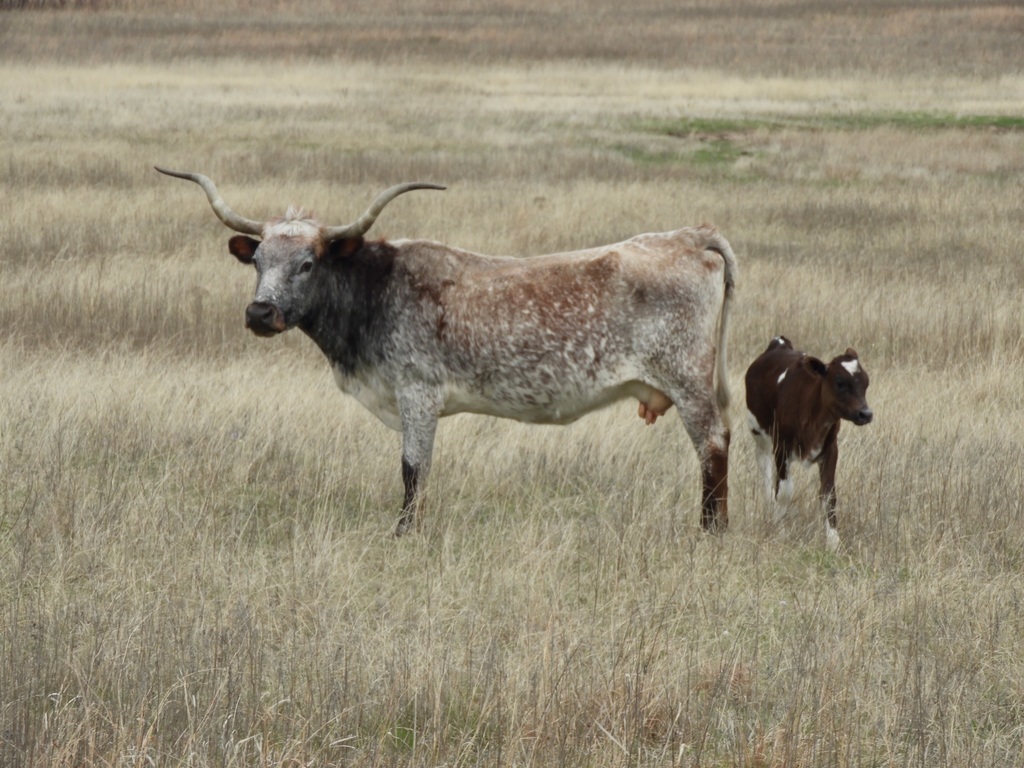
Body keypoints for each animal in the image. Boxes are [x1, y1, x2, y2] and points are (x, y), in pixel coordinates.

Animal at [156, 167, 738, 535]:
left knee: (712, 444)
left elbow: (413, 469)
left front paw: (403, 533)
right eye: (257, 262)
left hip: (688, 381)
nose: (260, 314)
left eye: (307, 263)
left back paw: (710, 531)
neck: (377, 289)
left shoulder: (418, 394)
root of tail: (690, 237)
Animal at [744, 336, 872, 551]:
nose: (866, 413)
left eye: (866, 382)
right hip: (760, 439)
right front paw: (781, 531)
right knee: (766, 475)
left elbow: (829, 494)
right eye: (840, 382)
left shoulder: (831, 449)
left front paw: (833, 541)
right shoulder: (782, 447)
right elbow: (784, 492)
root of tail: (779, 344)